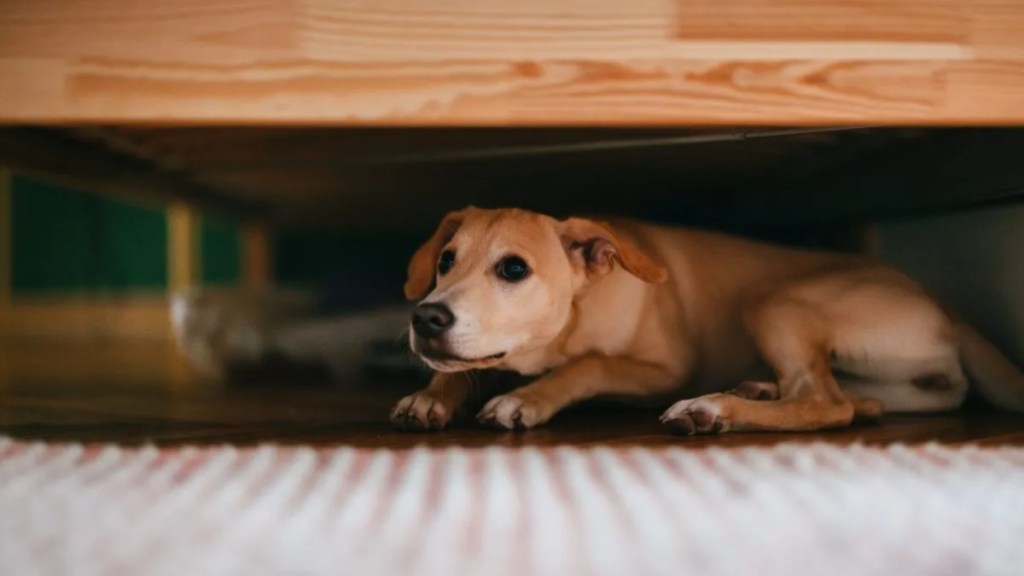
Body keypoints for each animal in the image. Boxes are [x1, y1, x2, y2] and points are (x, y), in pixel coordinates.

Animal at [389, 203, 1024, 432]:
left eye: (514, 269)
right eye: (445, 261)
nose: (426, 318)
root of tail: (948, 310)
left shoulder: (665, 369)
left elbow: (589, 366)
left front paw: (527, 398)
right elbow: (463, 368)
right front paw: (432, 396)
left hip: (774, 300)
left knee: (826, 403)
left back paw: (714, 408)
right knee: (851, 399)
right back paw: (755, 389)